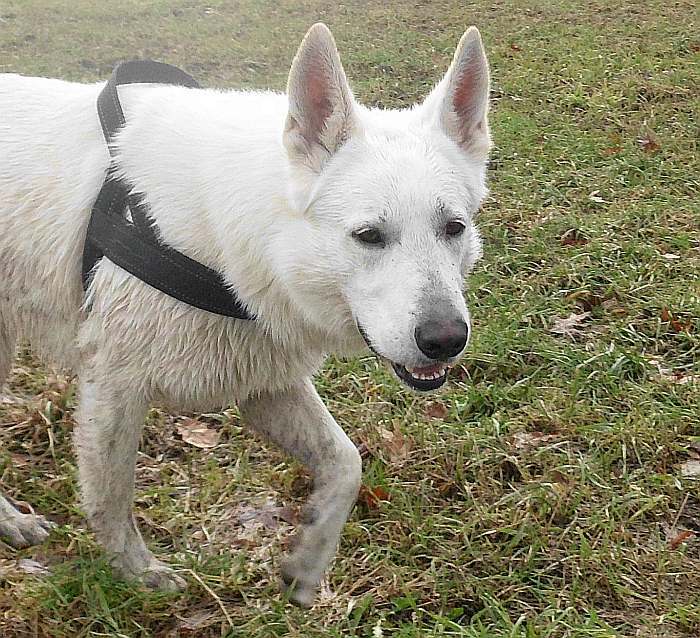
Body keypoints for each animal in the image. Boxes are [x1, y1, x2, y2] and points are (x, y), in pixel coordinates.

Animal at [0, 23, 490, 604]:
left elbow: (347, 464)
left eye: (453, 228)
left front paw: (308, 560)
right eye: (369, 236)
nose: (446, 339)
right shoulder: (112, 389)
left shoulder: (265, 384)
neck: (238, 240)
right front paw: (139, 577)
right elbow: (111, 503)